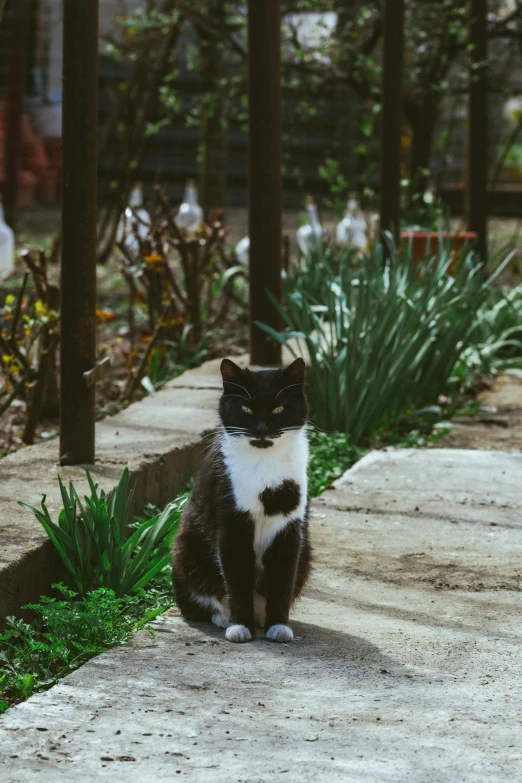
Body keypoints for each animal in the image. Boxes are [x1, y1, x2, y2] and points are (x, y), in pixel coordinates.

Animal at [171, 358, 310, 648]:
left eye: (279, 408)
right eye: (246, 408)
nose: (261, 429)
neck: (264, 464)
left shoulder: (290, 527)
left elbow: (283, 577)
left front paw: (279, 625)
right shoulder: (231, 521)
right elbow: (236, 577)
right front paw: (240, 625)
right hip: (185, 550)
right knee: (199, 601)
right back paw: (225, 617)